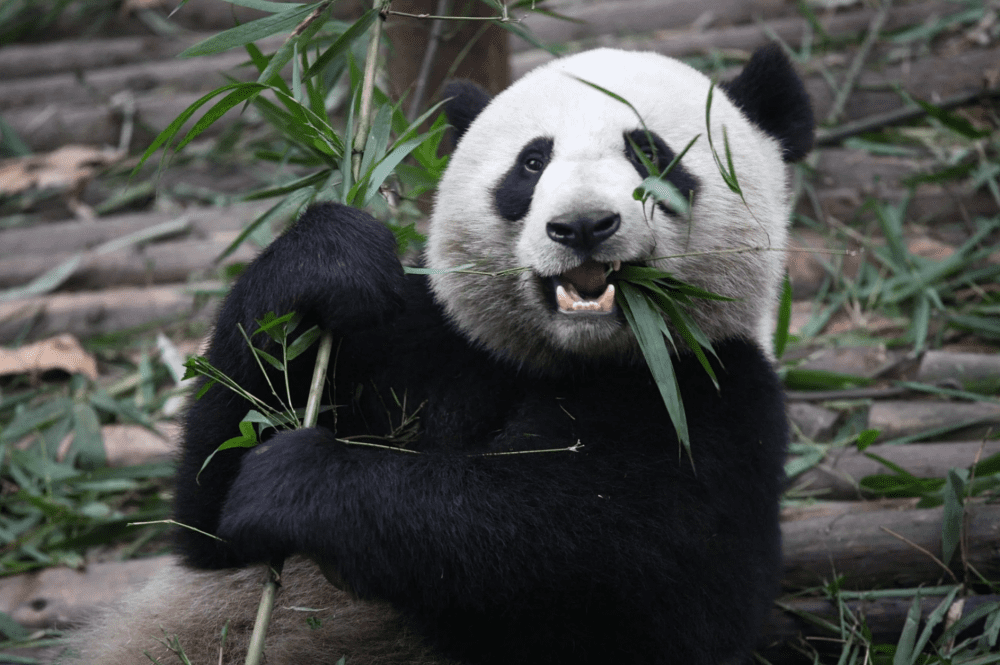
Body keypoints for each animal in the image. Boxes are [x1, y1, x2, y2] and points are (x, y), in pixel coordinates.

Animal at [62, 44, 812, 660]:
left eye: (651, 154)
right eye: (532, 162)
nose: (581, 226)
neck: (568, 358)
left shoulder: (713, 400)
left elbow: (588, 559)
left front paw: (296, 480)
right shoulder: (425, 340)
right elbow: (210, 519)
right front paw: (328, 259)